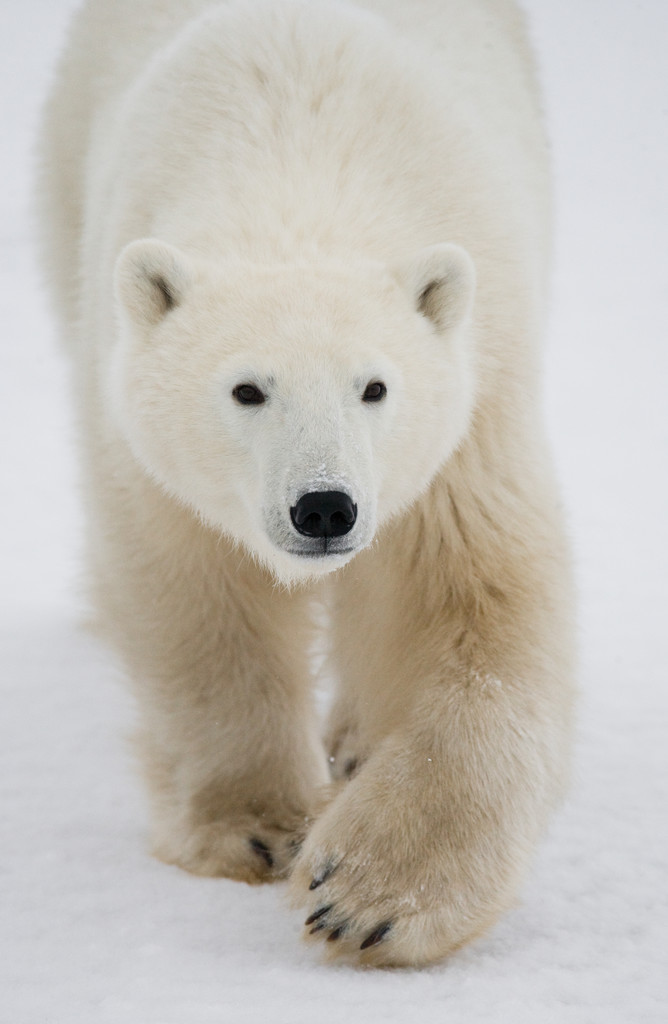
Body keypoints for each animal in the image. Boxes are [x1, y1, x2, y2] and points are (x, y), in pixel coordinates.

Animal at [37, 0, 575, 967]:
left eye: (376, 386)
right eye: (247, 389)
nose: (325, 507)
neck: (299, 166)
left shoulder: (471, 415)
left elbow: (475, 610)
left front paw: (371, 896)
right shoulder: (141, 445)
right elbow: (198, 606)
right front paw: (256, 829)